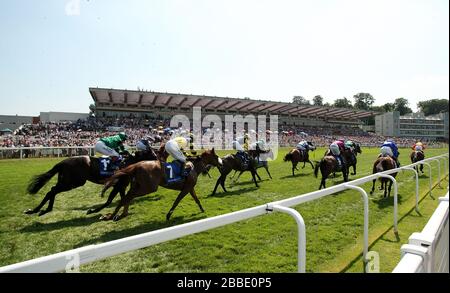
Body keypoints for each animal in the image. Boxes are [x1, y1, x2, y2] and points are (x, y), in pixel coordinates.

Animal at [25, 147, 158, 216]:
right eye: (151, 152)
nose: (157, 159)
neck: (128, 163)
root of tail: (62, 162)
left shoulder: (122, 185)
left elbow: (123, 198)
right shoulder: (119, 184)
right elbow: (109, 200)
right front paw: (93, 210)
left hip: (66, 181)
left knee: (53, 190)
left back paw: (45, 209)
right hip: (73, 182)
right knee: (52, 191)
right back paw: (37, 210)